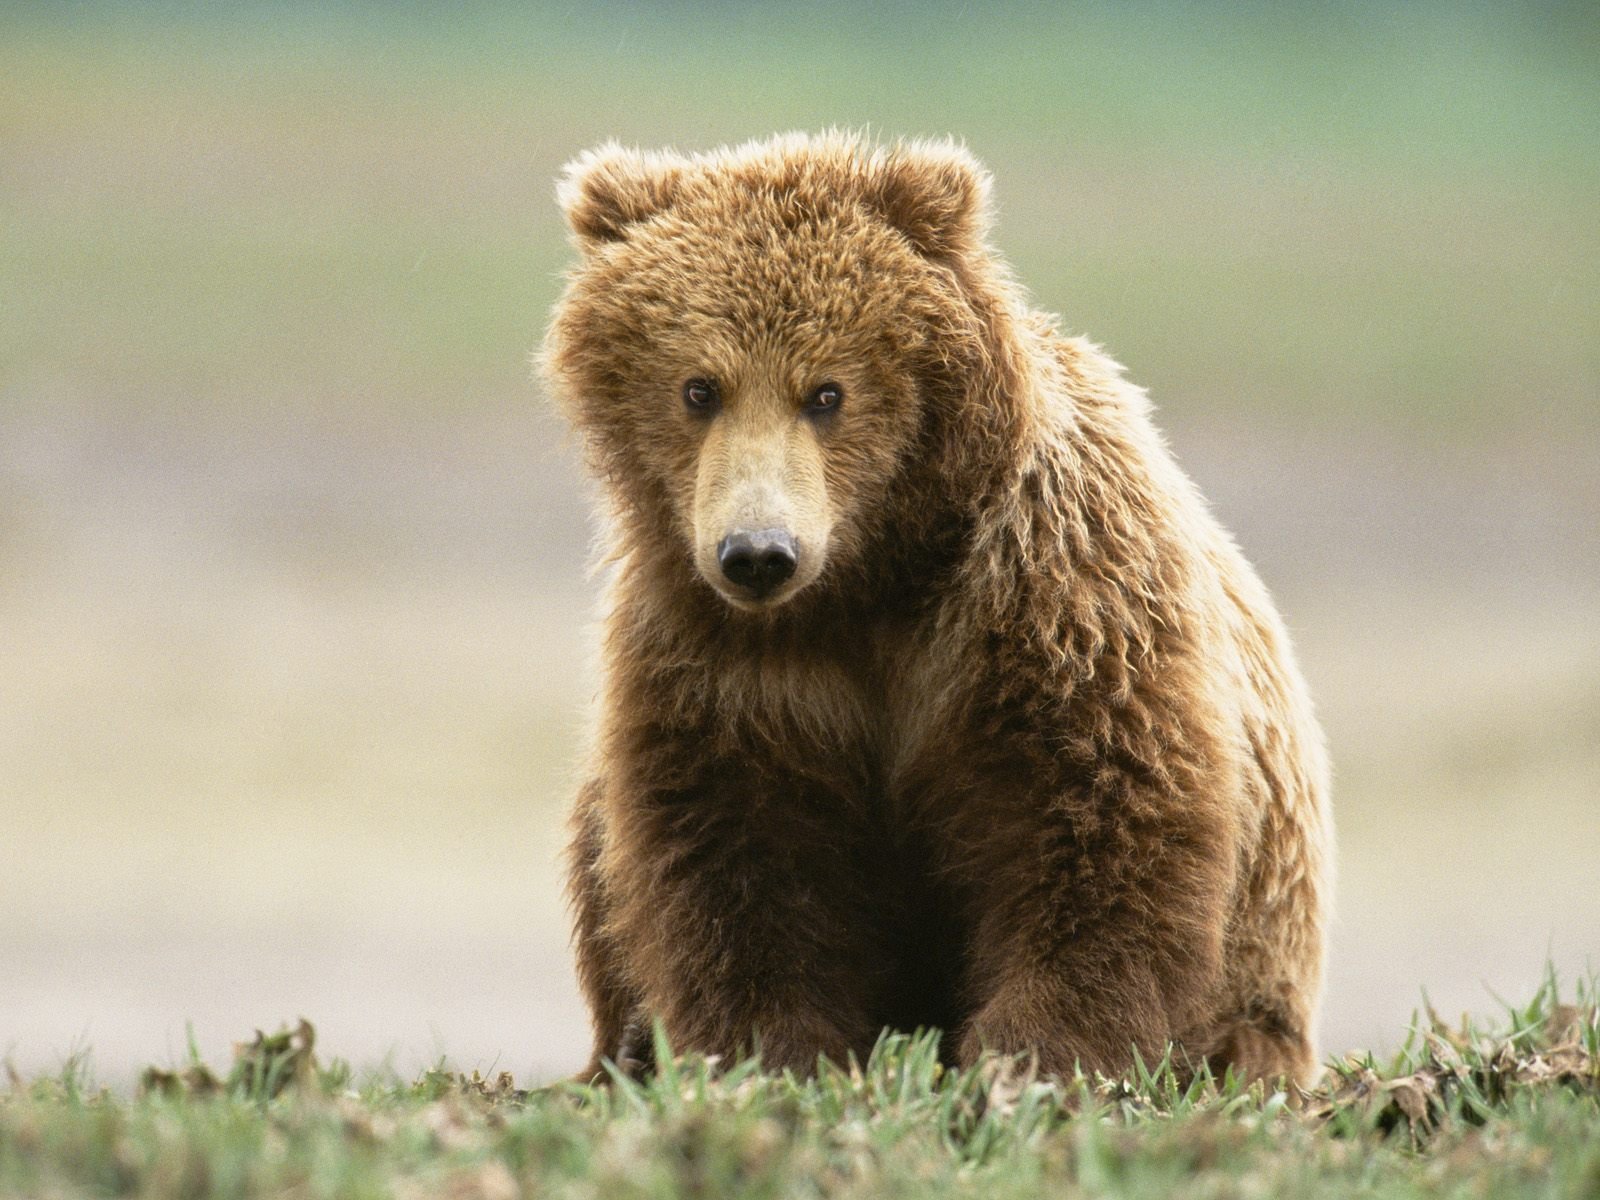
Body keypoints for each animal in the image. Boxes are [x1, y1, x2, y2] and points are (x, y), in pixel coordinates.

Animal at [544, 131, 1331, 1088]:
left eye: (827, 391)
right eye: (700, 388)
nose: (759, 553)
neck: (873, 577)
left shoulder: (1052, 592)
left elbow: (1099, 818)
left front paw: (1035, 1055)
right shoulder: (724, 657)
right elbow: (734, 846)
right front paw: (772, 1048)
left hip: (1264, 981)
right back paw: (623, 1045)